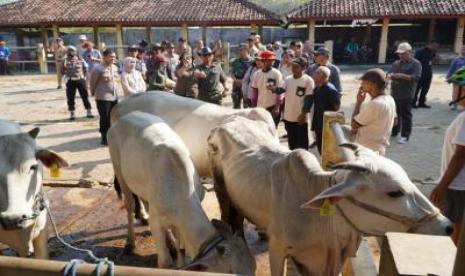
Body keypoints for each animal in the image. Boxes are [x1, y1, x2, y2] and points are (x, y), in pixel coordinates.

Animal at [107, 111, 256, 274]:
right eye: (231, 272)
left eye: (253, 267)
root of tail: (126, 116)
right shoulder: (156, 222)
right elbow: (165, 262)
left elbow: (181, 251)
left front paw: (177, 252)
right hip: (119, 170)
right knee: (129, 205)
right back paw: (129, 243)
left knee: (145, 202)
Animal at [208, 116, 454, 276]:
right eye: (394, 192)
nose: (448, 227)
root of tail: (225, 123)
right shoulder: (277, 250)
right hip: (221, 190)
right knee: (230, 217)